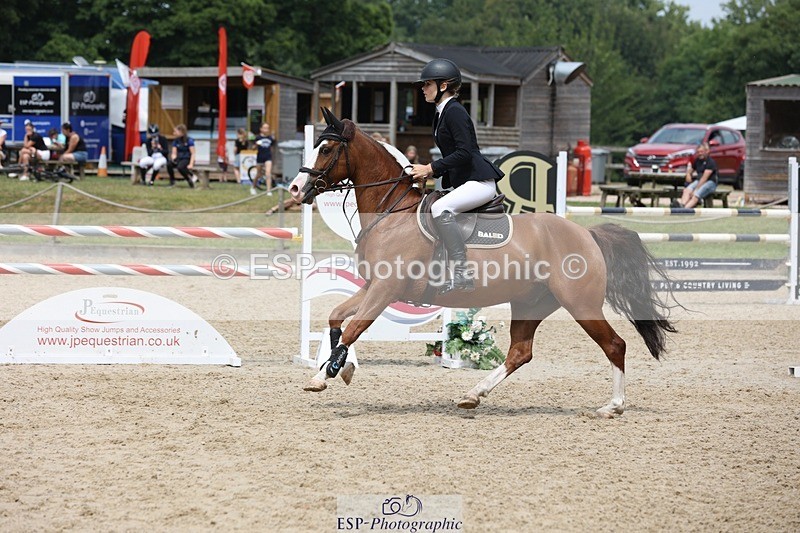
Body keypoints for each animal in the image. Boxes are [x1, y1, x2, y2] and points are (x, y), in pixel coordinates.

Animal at [289, 108, 677, 418]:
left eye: (326, 149)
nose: (295, 189)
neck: (391, 212)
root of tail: (588, 235)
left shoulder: (385, 289)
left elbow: (354, 328)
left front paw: (323, 375)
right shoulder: (374, 287)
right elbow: (336, 318)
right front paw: (338, 367)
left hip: (580, 304)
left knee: (614, 345)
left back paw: (613, 406)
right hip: (531, 303)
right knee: (520, 352)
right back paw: (472, 395)